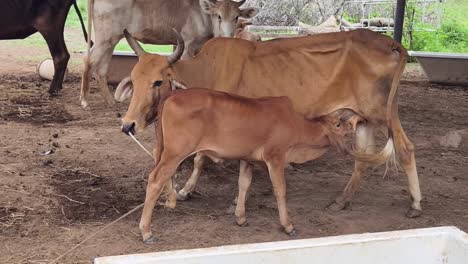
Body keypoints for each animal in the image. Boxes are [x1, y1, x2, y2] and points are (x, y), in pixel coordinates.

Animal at [78, 0, 258, 108]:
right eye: (219, 16)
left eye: (236, 17)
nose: (228, 35)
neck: (204, 16)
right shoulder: (188, 45)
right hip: (105, 38)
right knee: (88, 60)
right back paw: (84, 100)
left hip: (111, 39)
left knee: (102, 67)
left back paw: (110, 101)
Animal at [114, 28, 424, 225]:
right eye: (134, 78)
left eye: (158, 81)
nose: (128, 124)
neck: (206, 69)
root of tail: (391, 43)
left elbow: (202, 157)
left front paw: (190, 191)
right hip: (364, 119)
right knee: (364, 159)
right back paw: (341, 200)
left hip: (383, 114)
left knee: (405, 149)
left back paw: (415, 204)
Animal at [121, 87, 392, 243]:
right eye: (340, 126)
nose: (354, 131)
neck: (296, 126)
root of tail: (171, 96)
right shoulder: (275, 158)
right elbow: (280, 190)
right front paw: (288, 225)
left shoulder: (247, 159)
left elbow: (244, 184)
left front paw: (240, 217)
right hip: (175, 152)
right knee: (155, 179)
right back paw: (146, 231)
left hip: (165, 150)